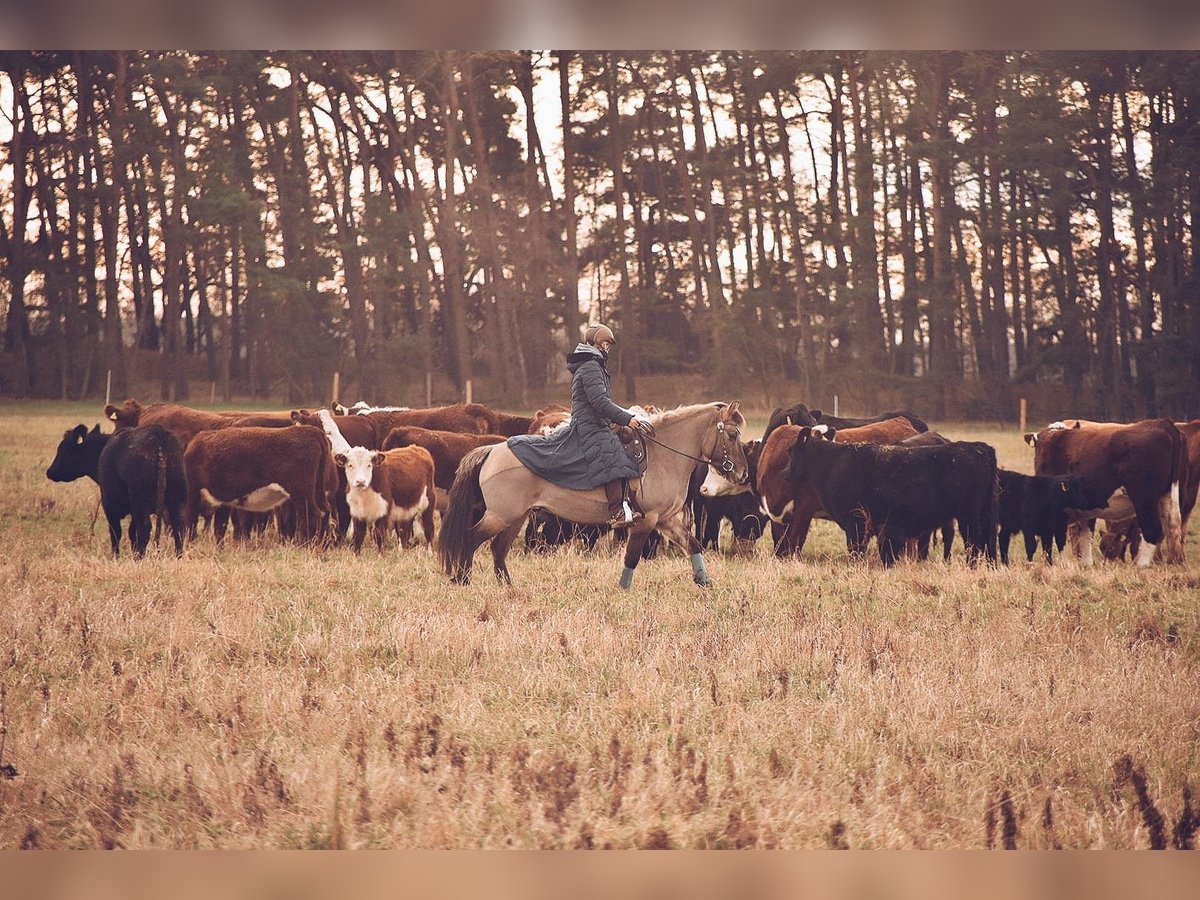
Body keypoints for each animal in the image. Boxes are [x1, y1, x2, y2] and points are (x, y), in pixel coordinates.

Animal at [47, 424, 187, 558]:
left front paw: (116, 557)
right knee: (178, 526)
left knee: (144, 527)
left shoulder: (109, 505)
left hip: (139, 500)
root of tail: (159, 434)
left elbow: (115, 532)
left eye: (62, 449)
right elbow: (131, 533)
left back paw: (141, 558)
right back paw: (177, 557)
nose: (50, 471)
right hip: (176, 498)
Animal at [183, 425, 337, 545]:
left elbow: (191, 521)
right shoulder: (222, 500)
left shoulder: (194, 492)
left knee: (313, 514)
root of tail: (312, 431)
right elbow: (219, 528)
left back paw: (309, 548)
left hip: (302, 493)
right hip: (317, 491)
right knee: (325, 511)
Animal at [437, 402, 749, 589]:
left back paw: (507, 587)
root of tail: (492, 450)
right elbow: (632, 557)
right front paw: (623, 590)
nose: (743, 473)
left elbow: (693, 545)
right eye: (733, 435)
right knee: (471, 538)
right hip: (500, 516)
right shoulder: (646, 521)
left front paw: (705, 583)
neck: (662, 455)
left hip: (515, 518)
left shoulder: (667, 520)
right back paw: (462, 579)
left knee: (498, 549)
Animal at [784, 427, 998, 566]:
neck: (832, 464)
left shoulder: (856, 524)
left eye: (791, 450)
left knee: (973, 542)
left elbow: (857, 552)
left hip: (969, 517)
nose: (786, 473)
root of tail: (979, 447)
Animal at [1024, 418, 1186, 567]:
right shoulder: (1085, 509)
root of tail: (1161, 422)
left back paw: (1142, 565)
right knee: (1172, 527)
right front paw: (1086, 564)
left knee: (1152, 529)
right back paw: (1175, 562)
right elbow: (1086, 535)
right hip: (1167, 498)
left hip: (1144, 499)